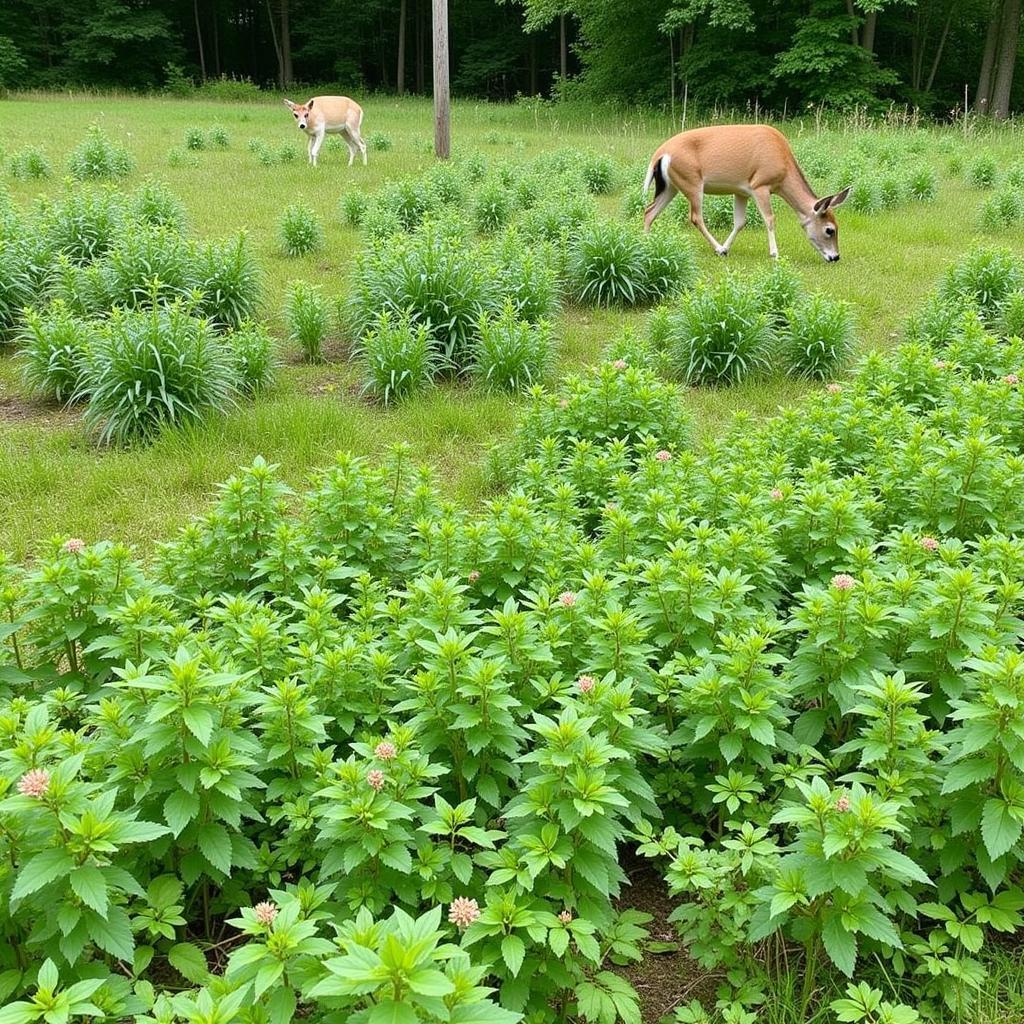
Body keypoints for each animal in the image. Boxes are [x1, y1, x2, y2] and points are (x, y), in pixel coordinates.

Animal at [643, 123, 851, 262]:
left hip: (671, 186)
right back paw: (717, 248)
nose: (835, 257)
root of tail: (660, 154)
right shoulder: (760, 185)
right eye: (830, 230)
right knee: (695, 217)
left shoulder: (741, 191)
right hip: (692, 182)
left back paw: (647, 243)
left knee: (649, 211)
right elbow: (769, 218)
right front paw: (774, 253)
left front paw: (727, 248)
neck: (783, 165)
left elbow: (740, 222)